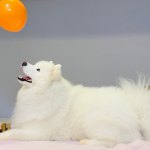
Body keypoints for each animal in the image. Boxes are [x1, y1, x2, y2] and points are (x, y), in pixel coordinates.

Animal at [0, 60, 150, 147]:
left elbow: (13, 133)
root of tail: (134, 110)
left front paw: (3, 136)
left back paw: (87, 142)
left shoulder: (37, 132)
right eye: (34, 64)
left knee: (113, 142)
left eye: (38, 69)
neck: (43, 92)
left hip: (91, 120)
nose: (24, 62)